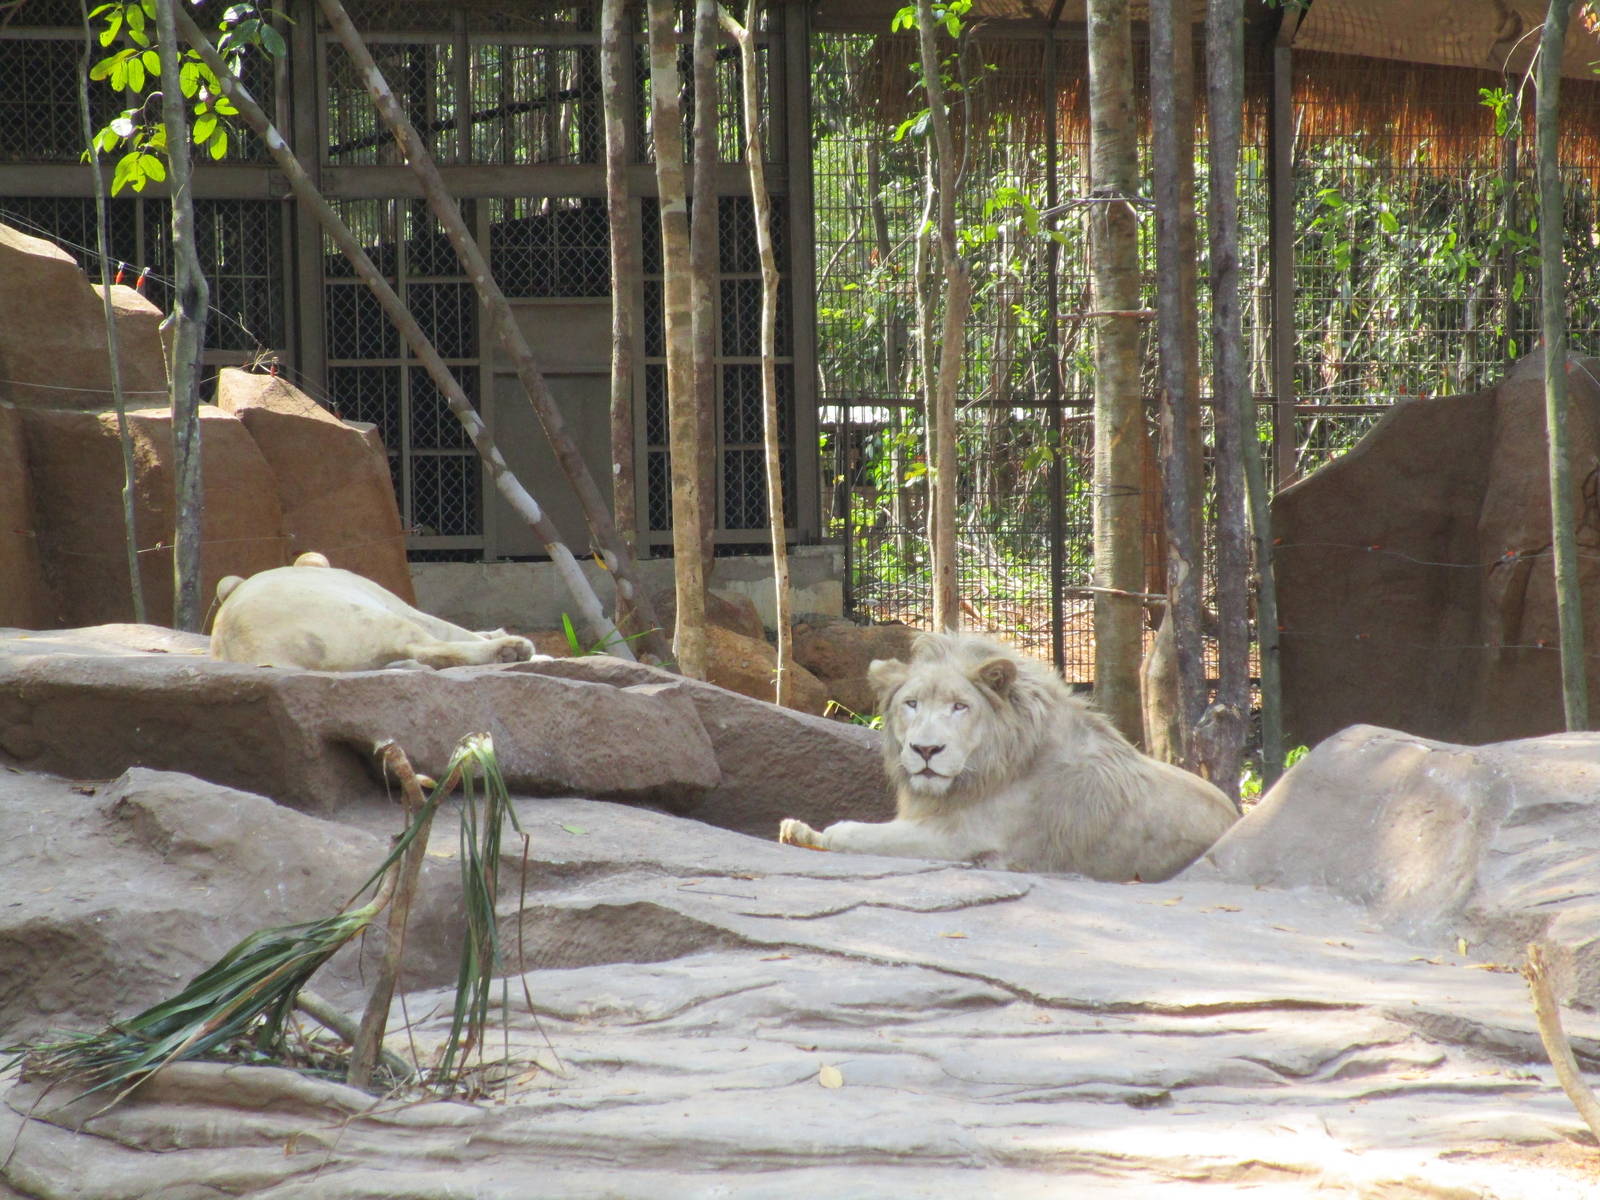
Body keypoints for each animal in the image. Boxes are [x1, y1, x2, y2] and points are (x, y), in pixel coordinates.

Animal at [210, 553, 538, 671]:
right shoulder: (388, 600)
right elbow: (443, 626)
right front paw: (499, 638)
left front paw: (491, 632)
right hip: (353, 615)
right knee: (422, 644)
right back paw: (513, 650)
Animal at [778, 632, 1238, 882]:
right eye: (911, 704)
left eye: (960, 707)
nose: (926, 750)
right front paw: (796, 829)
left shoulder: (962, 842)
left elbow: (851, 834)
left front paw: (823, 832)